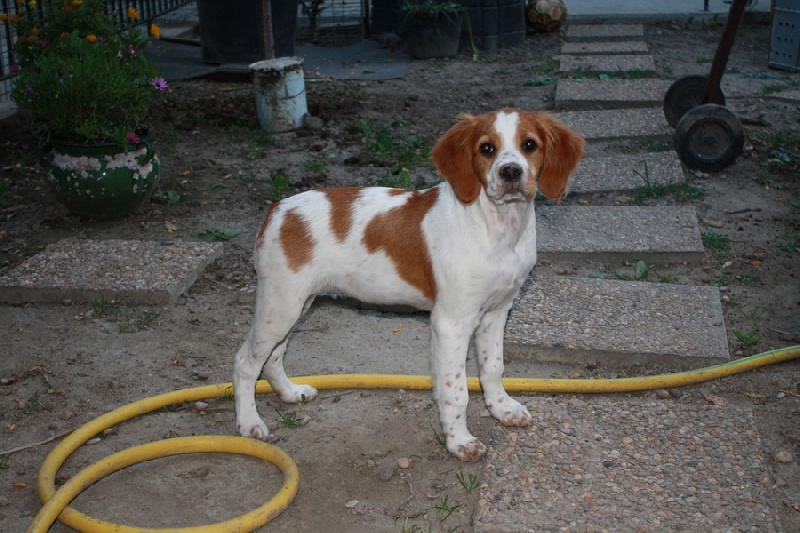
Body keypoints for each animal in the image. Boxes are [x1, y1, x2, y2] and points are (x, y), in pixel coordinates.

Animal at [234, 109, 584, 462]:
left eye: (529, 145)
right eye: (487, 148)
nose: (510, 171)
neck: (496, 228)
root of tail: (278, 208)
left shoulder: (496, 312)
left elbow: (493, 367)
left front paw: (502, 409)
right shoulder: (451, 322)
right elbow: (456, 390)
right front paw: (459, 441)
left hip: (296, 303)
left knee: (274, 356)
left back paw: (290, 392)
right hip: (280, 305)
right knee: (245, 362)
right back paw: (249, 423)